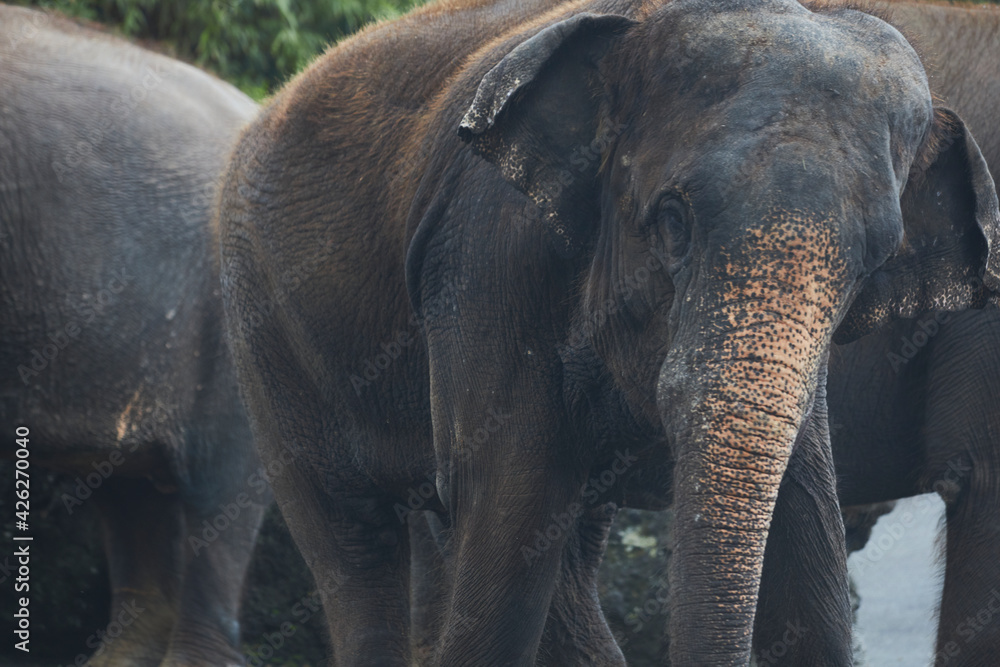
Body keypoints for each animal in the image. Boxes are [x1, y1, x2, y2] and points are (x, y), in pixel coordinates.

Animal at [217, 0, 1000, 664]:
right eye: (674, 222)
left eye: (869, 267)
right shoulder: (490, 256)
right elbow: (511, 525)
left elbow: (808, 545)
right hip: (266, 333)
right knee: (359, 546)